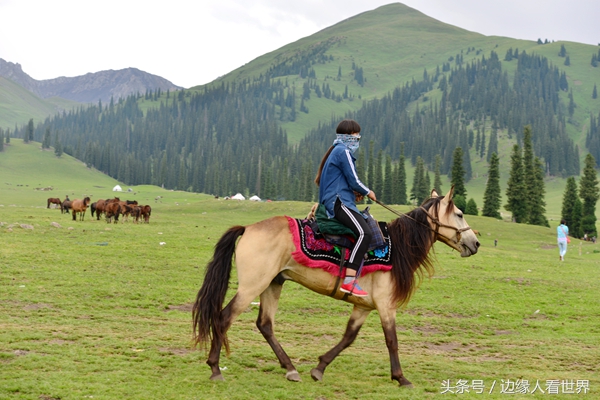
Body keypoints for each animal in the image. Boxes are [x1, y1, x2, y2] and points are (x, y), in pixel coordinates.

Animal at [192, 188, 478, 388]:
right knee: (224, 317)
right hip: (253, 286)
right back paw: (215, 369)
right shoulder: (386, 306)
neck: (397, 249)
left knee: (265, 324)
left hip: (273, 283)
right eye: (460, 214)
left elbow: (348, 337)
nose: (475, 243)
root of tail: (248, 228)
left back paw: (290, 368)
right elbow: (392, 340)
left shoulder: (364, 306)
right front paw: (401, 377)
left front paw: (319, 368)